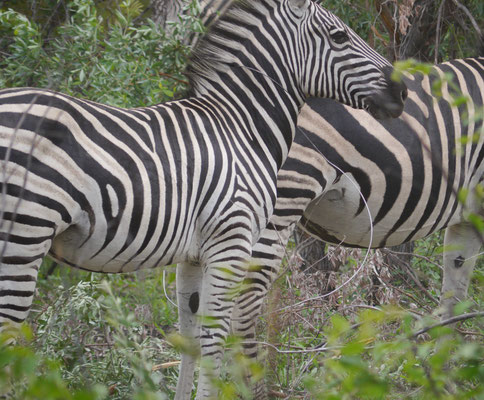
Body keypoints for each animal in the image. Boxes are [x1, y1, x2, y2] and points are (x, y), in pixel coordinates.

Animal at [0, 0, 406, 400]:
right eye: (339, 36)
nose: (402, 92)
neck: (241, 128)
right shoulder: (231, 243)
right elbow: (214, 341)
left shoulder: (193, 255)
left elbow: (190, 339)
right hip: (24, 235)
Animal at [232, 55, 484, 396]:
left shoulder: (467, 217)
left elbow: (453, 301)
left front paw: (445, 383)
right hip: (283, 197)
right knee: (241, 301)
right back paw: (253, 387)